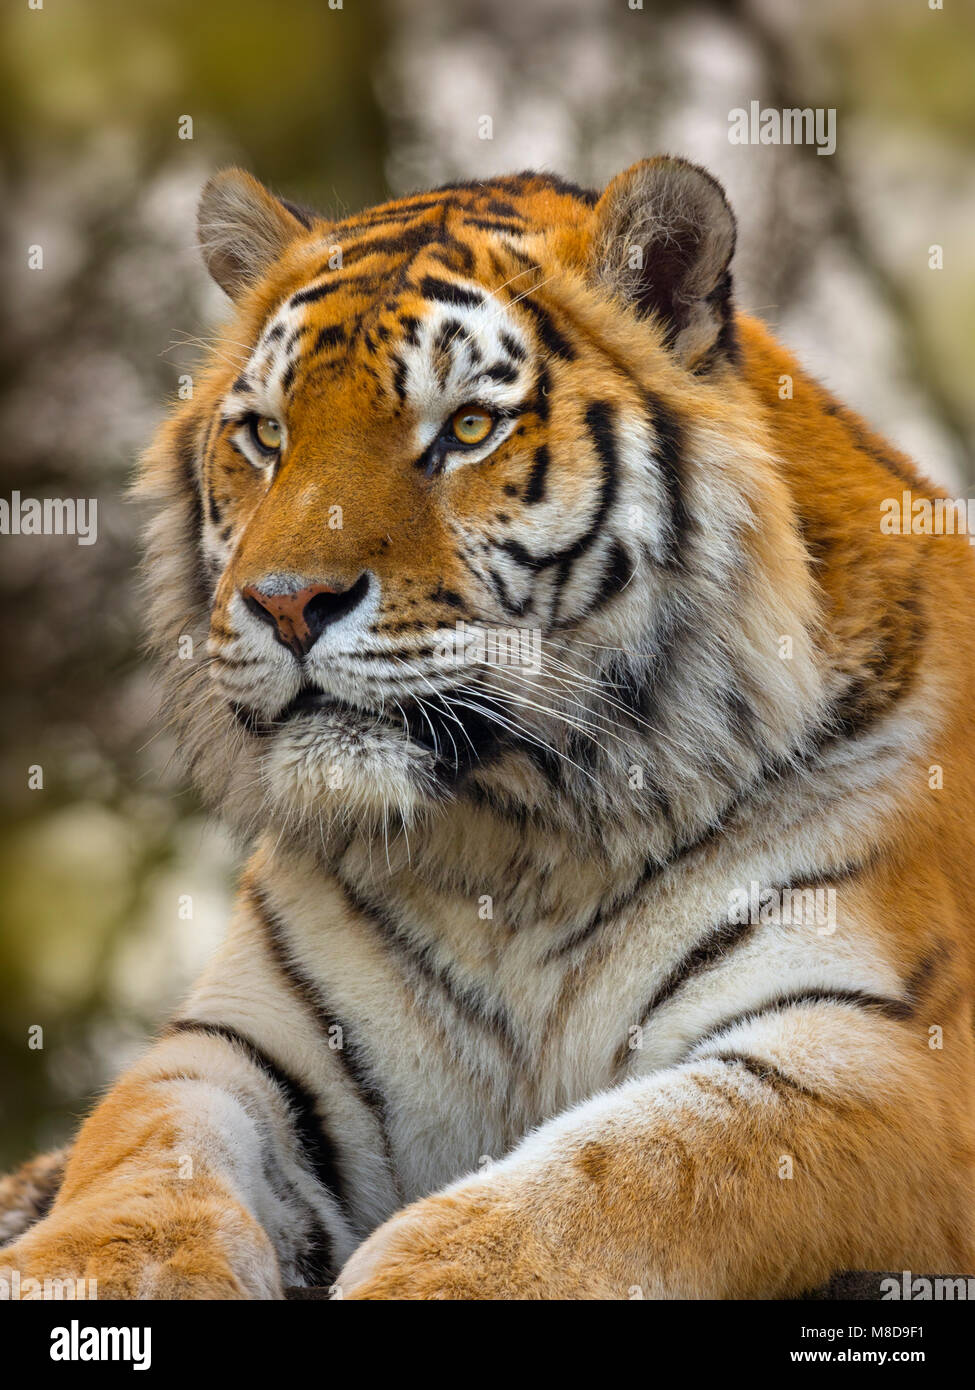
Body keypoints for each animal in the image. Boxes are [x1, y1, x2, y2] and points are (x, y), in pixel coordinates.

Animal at [1, 156, 974, 1300]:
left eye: (467, 428)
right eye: (266, 435)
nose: (287, 604)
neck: (517, 845)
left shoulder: (873, 1054)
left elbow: (615, 1174)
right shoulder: (242, 1047)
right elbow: (141, 1158)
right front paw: (77, 1269)